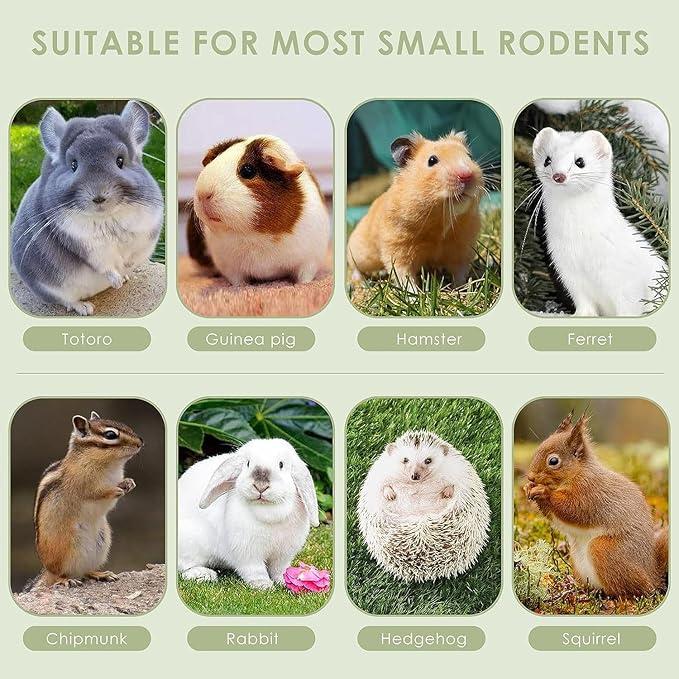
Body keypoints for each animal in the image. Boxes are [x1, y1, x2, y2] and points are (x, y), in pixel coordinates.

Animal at [11, 100, 164, 316]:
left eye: (120, 161)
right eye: (74, 165)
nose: (98, 197)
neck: (106, 218)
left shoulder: (146, 231)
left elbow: (134, 254)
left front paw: (126, 270)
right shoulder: (84, 243)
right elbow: (104, 263)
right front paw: (116, 280)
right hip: (51, 288)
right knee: (67, 301)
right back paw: (85, 307)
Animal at [178, 438, 320, 589]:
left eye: (281, 465)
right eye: (248, 464)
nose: (260, 486)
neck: (267, 510)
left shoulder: (283, 555)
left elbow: (279, 570)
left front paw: (284, 581)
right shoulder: (247, 553)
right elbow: (255, 570)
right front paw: (264, 585)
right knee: (184, 567)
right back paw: (203, 574)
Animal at [186, 135, 329, 286]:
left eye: (247, 171)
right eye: (213, 161)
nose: (203, 194)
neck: (254, 234)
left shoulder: (310, 260)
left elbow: (305, 276)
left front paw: (302, 285)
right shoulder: (229, 267)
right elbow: (237, 281)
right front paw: (241, 287)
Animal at [347, 131, 483, 288]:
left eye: (470, 156)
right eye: (432, 160)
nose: (466, 175)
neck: (441, 218)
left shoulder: (462, 248)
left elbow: (460, 272)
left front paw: (461, 289)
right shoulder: (398, 248)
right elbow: (404, 276)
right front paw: (415, 293)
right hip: (362, 254)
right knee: (355, 266)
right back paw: (361, 281)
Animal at [532, 127, 667, 316]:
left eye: (580, 161)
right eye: (547, 160)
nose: (558, 176)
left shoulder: (626, 275)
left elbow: (629, 305)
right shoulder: (567, 268)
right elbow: (582, 300)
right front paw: (582, 315)